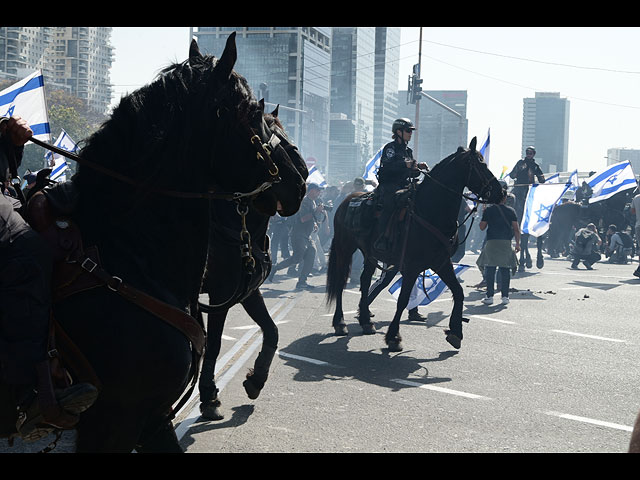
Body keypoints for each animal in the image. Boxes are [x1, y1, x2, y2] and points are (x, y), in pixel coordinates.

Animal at [196, 110, 306, 418]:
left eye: (285, 135)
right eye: (272, 137)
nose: (301, 182)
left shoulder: (248, 291)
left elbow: (272, 330)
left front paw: (256, 378)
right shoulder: (220, 295)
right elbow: (213, 344)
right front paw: (209, 396)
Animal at [324, 139, 504, 352]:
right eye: (479, 165)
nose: (502, 192)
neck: (430, 211)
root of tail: (346, 201)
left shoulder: (441, 262)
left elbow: (458, 292)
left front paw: (455, 332)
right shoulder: (411, 266)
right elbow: (402, 300)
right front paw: (393, 337)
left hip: (370, 254)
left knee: (365, 280)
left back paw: (366, 321)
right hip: (345, 248)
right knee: (341, 282)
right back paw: (340, 322)